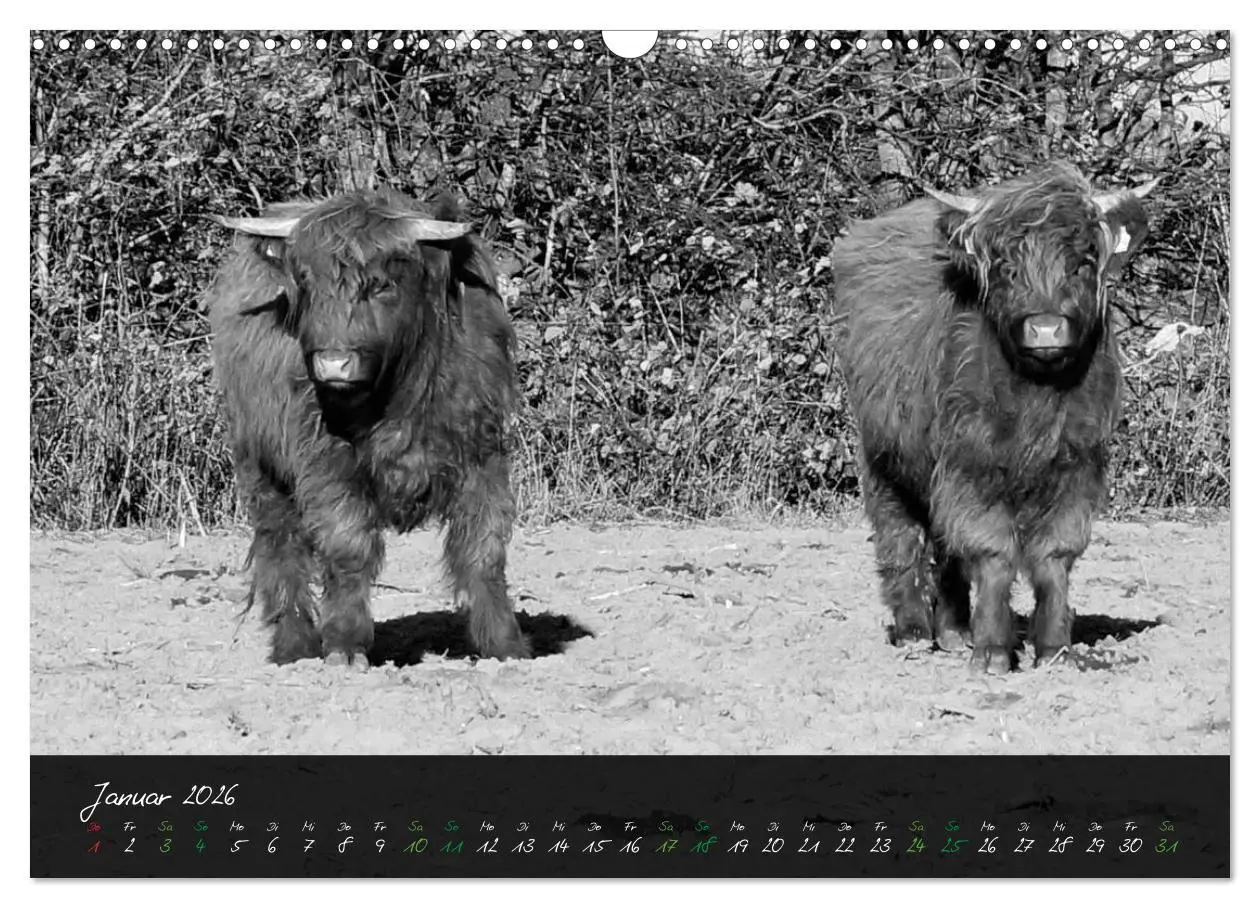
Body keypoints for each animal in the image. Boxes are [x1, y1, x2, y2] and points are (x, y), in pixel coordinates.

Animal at [206, 188, 530, 668]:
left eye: (383, 284)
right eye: (305, 283)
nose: (333, 363)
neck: (399, 395)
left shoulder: (482, 455)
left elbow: (483, 547)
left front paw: (506, 645)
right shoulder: (326, 464)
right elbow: (349, 546)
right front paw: (345, 644)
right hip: (259, 466)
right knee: (280, 546)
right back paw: (294, 646)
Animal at [830, 161, 1157, 674]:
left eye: (1082, 263)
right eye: (1007, 267)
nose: (1046, 328)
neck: (1036, 400)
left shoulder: (1078, 464)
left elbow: (1055, 555)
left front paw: (1054, 649)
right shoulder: (972, 465)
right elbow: (992, 552)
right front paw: (992, 652)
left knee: (944, 546)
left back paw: (952, 631)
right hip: (883, 456)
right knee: (900, 536)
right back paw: (914, 631)